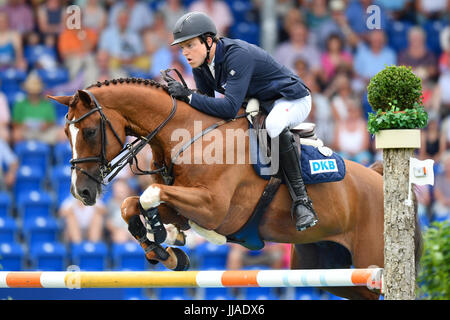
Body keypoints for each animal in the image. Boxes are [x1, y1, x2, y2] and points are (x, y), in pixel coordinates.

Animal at [48, 77, 422, 300]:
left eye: (90, 131)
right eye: (66, 133)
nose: (81, 192)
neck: (190, 135)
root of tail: (377, 177)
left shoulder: (213, 207)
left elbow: (148, 195)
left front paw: (162, 237)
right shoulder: (186, 202)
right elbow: (132, 204)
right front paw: (164, 248)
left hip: (372, 262)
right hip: (331, 272)